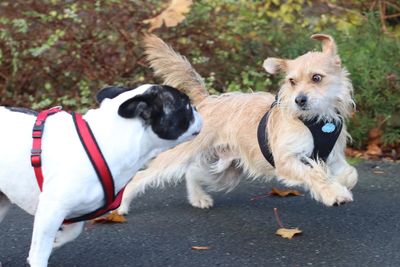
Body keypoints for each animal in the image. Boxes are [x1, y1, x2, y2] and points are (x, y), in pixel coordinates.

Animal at [0, 84, 202, 267]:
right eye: (185, 104)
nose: (197, 108)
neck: (108, 140)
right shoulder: (51, 209)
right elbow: (40, 252)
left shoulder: (72, 212)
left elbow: (73, 231)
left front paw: (57, 241)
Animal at [117, 33, 358, 216]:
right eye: (292, 81)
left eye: (317, 78)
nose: (299, 100)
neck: (317, 120)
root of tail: (207, 101)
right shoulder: (286, 160)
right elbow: (314, 174)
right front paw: (333, 192)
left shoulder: (334, 158)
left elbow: (350, 174)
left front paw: (339, 183)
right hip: (184, 155)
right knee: (141, 176)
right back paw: (122, 205)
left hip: (225, 172)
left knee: (192, 173)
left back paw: (198, 198)